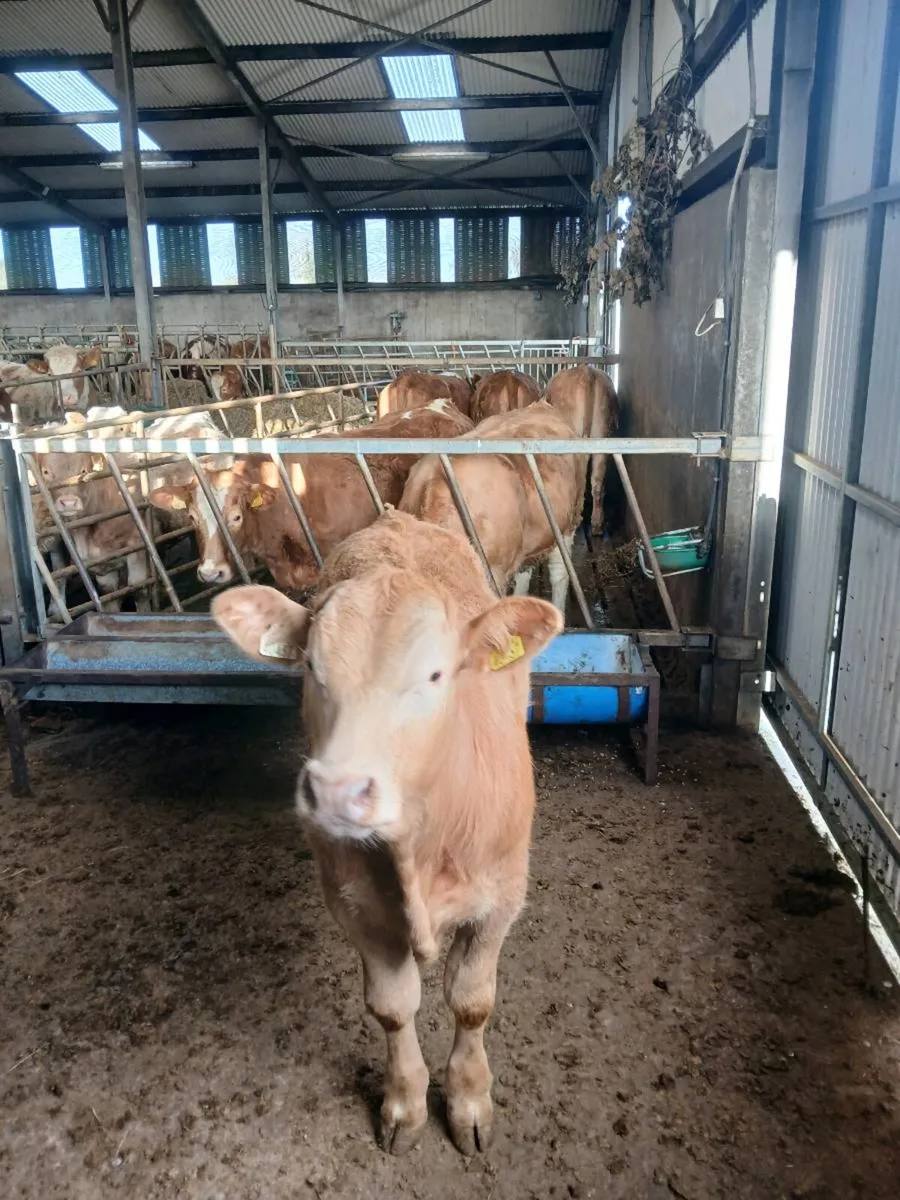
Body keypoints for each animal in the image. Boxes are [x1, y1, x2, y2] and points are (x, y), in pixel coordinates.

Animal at [210, 507, 562, 1156]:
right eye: (310, 667)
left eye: (436, 674)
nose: (337, 790)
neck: (418, 847)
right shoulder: (355, 906)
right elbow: (393, 1008)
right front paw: (406, 1104)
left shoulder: (501, 898)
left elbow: (472, 1003)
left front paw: (469, 1100)